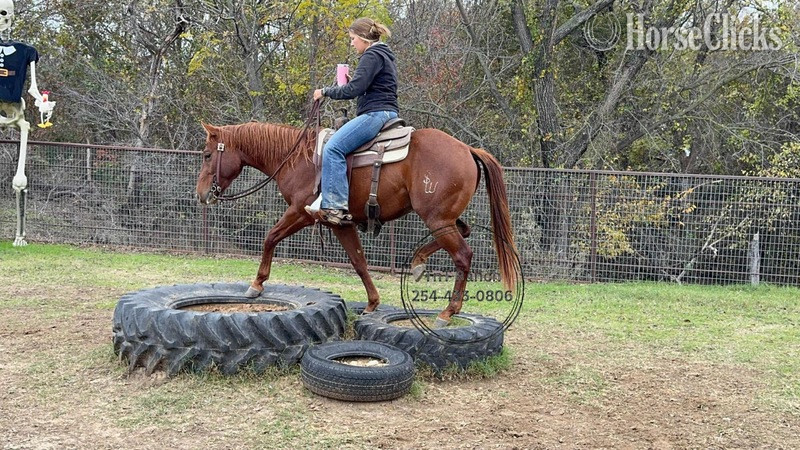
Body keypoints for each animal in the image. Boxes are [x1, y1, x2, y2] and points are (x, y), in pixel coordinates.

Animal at [195, 117, 518, 325]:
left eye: (208, 154)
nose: (201, 194)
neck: (297, 159)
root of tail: (468, 149)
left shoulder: (300, 212)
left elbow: (270, 237)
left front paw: (257, 284)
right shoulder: (341, 224)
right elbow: (359, 261)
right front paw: (373, 303)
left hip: (436, 218)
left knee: (463, 255)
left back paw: (448, 311)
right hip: (444, 218)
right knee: (464, 232)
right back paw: (418, 263)